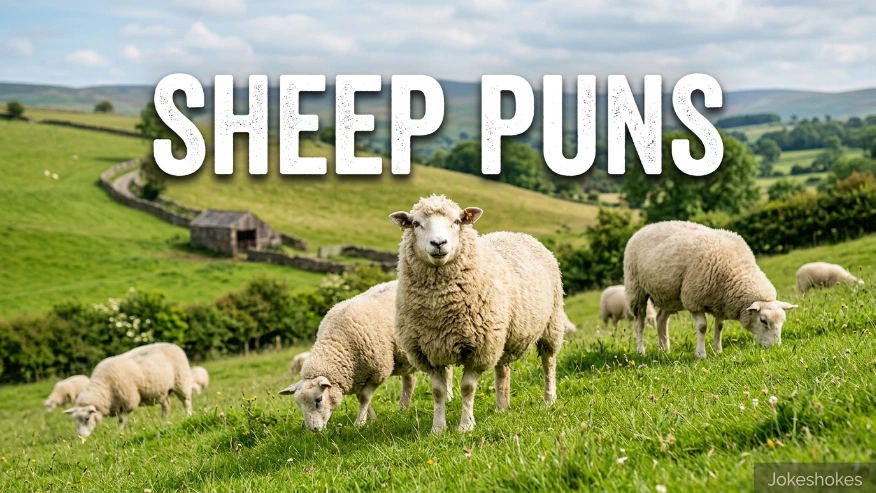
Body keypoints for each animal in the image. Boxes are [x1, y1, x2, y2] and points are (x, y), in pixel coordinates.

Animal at [64, 343, 193, 437]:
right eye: (75, 421)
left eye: (87, 418)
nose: (81, 436)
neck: (104, 386)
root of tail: (173, 345)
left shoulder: (128, 402)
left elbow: (122, 420)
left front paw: (119, 432)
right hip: (163, 390)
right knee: (166, 404)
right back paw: (163, 420)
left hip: (181, 381)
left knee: (186, 401)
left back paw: (188, 415)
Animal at [278, 281, 452, 432]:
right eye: (299, 405)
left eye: (318, 399)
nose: (313, 430)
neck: (338, 343)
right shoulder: (357, 376)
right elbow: (362, 399)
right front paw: (372, 419)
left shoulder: (378, 371)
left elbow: (364, 397)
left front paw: (360, 423)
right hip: (403, 358)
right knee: (410, 380)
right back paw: (403, 408)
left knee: (447, 372)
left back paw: (449, 396)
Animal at [390, 195, 566, 433]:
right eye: (416, 223)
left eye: (457, 221)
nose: (438, 244)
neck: (440, 306)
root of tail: (518, 234)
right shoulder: (428, 352)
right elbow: (438, 391)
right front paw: (438, 428)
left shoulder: (479, 348)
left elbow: (467, 387)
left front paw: (466, 425)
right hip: (502, 334)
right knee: (502, 370)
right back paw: (502, 407)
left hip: (551, 323)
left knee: (549, 362)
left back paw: (549, 398)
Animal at [624, 221, 797, 359]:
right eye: (763, 321)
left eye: (782, 322)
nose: (775, 347)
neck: (736, 271)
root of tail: (645, 227)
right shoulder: (694, 300)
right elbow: (702, 327)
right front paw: (701, 354)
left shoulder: (721, 302)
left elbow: (719, 327)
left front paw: (718, 350)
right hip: (636, 290)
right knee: (640, 323)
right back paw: (641, 350)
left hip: (670, 296)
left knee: (661, 319)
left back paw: (664, 349)